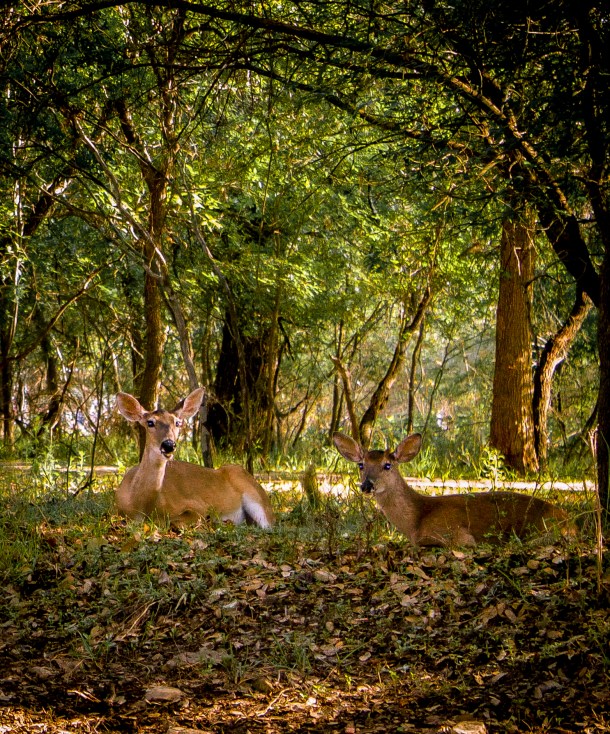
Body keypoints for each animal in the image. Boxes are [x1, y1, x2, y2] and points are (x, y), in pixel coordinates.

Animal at [115, 388, 274, 529]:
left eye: (178, 422)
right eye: (150, 422)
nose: (169, 445)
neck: (140, 505)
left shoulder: (198, 505)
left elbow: (177, 521)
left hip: (255, 497)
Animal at [333, 432, 574, 547]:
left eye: (387, 465)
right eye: (361, 465)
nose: (367, 485)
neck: (416, 520)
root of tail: (568, 521)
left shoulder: (455, 534)